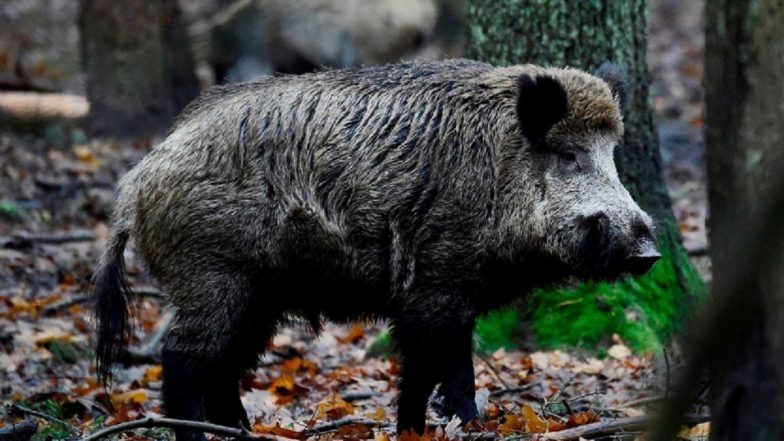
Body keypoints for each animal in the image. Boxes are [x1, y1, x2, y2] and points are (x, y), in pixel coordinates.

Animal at [93, 59, 660, 438]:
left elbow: (425, 369)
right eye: (568, 155)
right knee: (183, 358)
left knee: (225, 365)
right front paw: (466, 425)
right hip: (214, 276)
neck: (497, 173)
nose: (648, 250)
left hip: (256, 296)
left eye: (612, 154)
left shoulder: (432, 297)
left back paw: (242, 431)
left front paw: (416, 429)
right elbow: (449, 368)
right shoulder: (436, 285)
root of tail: (136, 182)